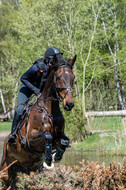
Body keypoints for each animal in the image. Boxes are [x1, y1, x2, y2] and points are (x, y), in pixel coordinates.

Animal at [0, 55, 76, 189]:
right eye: (59, 77)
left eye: (73, 77)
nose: (69, 104)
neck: (49, 110)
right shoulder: (30, 139)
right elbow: (47, 135)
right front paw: (48, 157)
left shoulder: (58, 137)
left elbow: (65, 141)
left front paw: (57, 155)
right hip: (5, 172)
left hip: (27, 169)